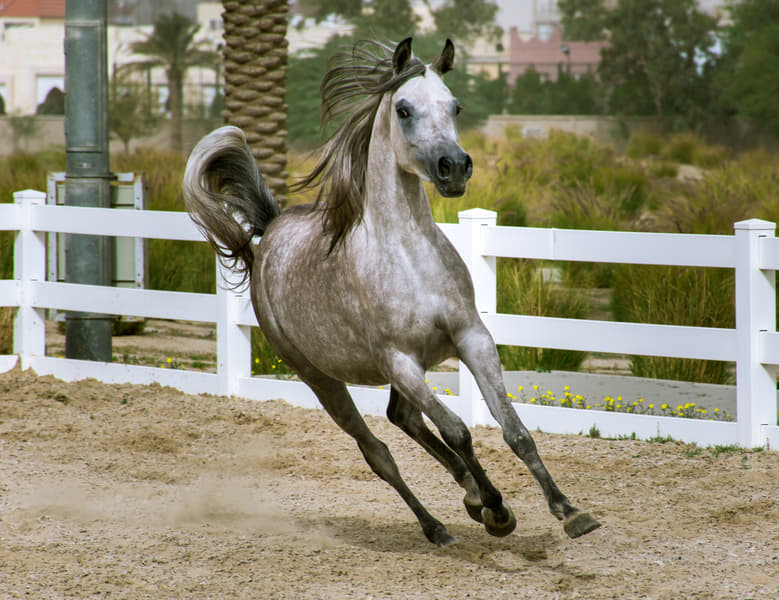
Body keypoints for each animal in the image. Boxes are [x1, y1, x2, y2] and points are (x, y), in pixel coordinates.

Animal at [183, 37, 601, 546]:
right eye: (403, 109)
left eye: (454, 105)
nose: (454, 168)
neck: (408, 259)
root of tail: (270, 234)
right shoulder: (398, 361)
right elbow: (458, 430)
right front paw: (499, 511)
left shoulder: (472, 339)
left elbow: (512, 429)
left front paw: (568, 511)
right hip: (321, 379)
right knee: (379, 451)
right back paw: (438, 524)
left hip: (400, 373)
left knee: (406, 420)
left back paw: (469, 496)